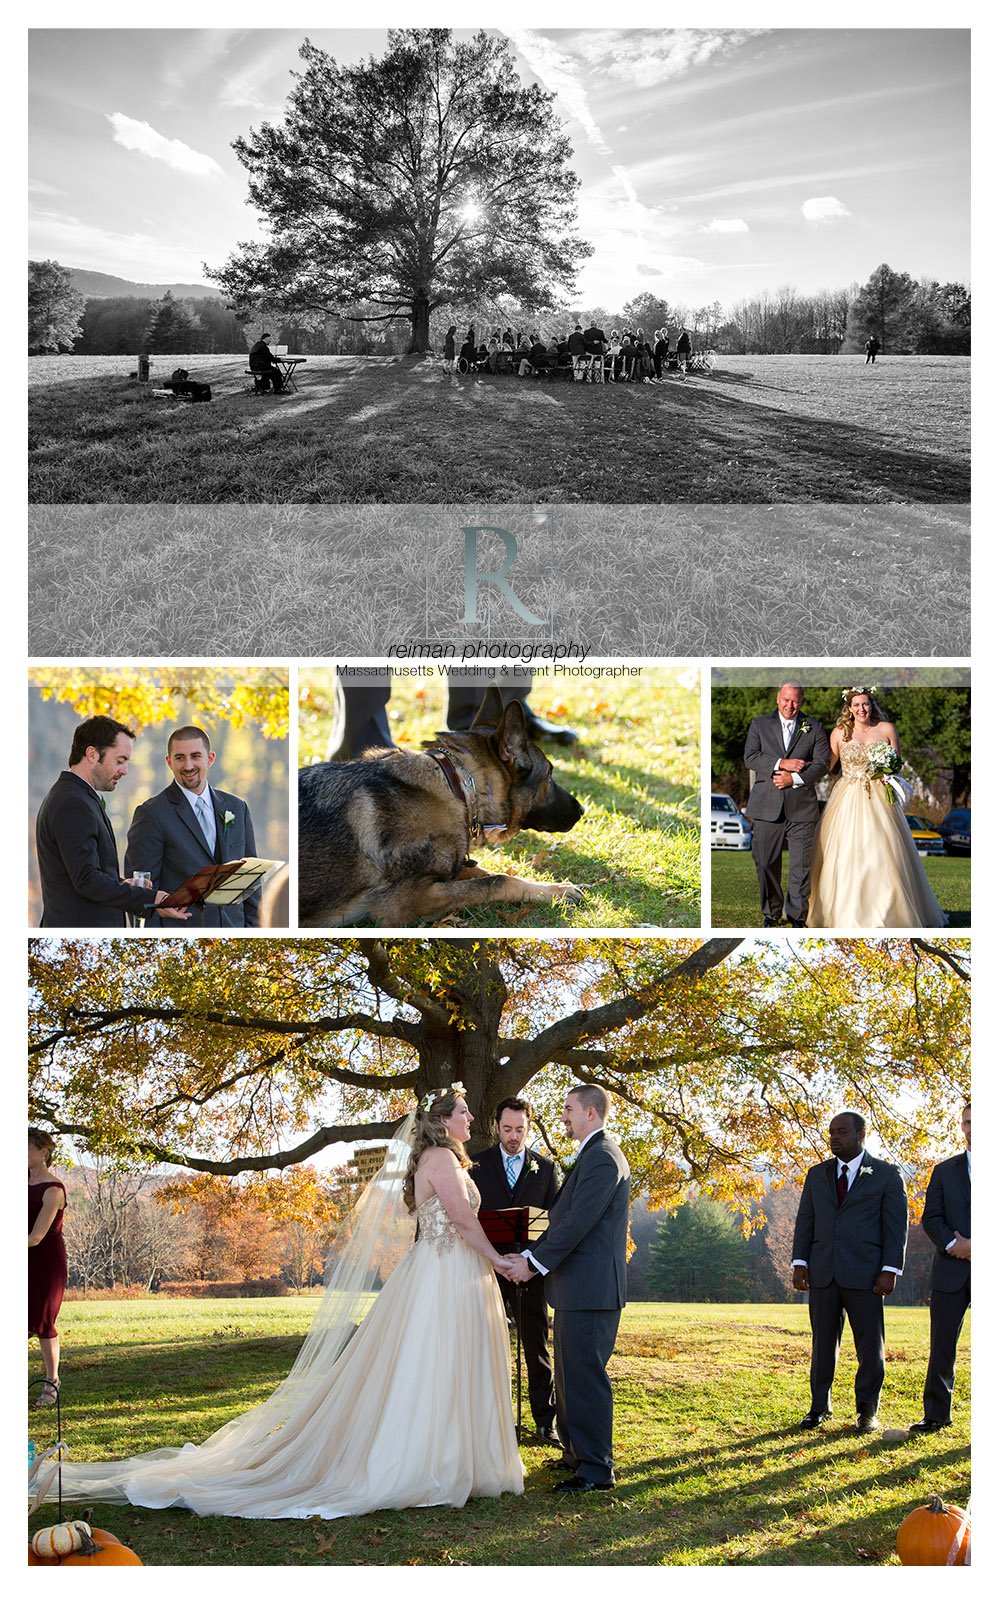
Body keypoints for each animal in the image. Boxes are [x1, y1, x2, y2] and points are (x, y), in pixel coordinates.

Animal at [295, 687, 581, 926]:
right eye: (549, 775)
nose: (582, 810)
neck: (459, 787)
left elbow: (487, 872)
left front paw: (556, 890)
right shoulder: (406, 901)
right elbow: (498, 880)